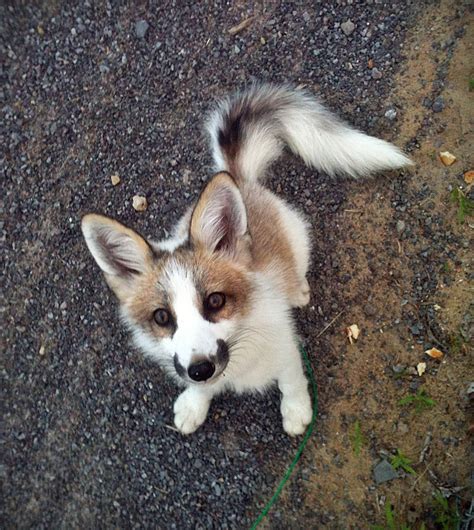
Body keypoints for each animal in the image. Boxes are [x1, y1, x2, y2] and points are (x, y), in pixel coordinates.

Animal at [81, 84, 412, 434]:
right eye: (161, 317)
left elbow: (292, 381)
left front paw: (296, 410)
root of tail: (237, 178)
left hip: (297, 236)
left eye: (215, 301)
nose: (200, 370)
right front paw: (195, 403)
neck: (241, 340)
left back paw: (299, 289)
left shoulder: (286, 346)